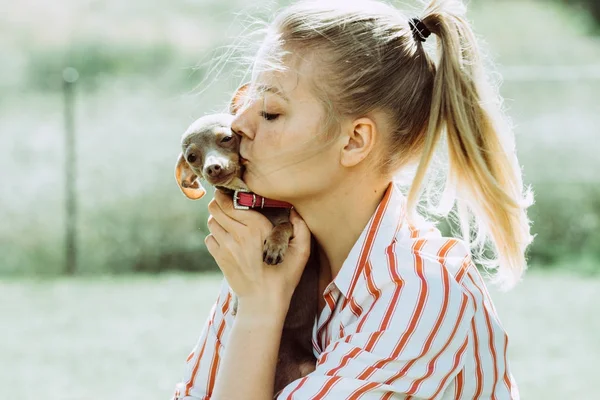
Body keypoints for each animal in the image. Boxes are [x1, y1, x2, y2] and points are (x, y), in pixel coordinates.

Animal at [175, 85, 318, 396]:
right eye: (192, 157)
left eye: (227, 138)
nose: (213, 168)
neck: (251, 198)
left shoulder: (295, 221)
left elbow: (283, 225)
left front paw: (274, 245)